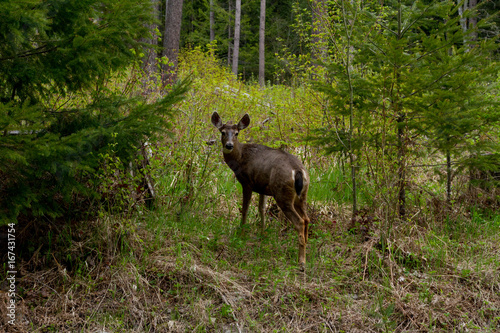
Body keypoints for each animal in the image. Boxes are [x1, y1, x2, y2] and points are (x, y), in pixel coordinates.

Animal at [210, 113, 310, 268]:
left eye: (237, 133)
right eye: (223, 132)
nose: (229, 145)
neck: (240, 158)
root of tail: (298, 171)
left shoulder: (247, 182)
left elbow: (245, 209)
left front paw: (241, 233)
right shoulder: (263, 187)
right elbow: (261, 209)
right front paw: (262, 234)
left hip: (283, 194)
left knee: (299, 222)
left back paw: (301, 261)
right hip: (301, 195)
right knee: (307, 219)